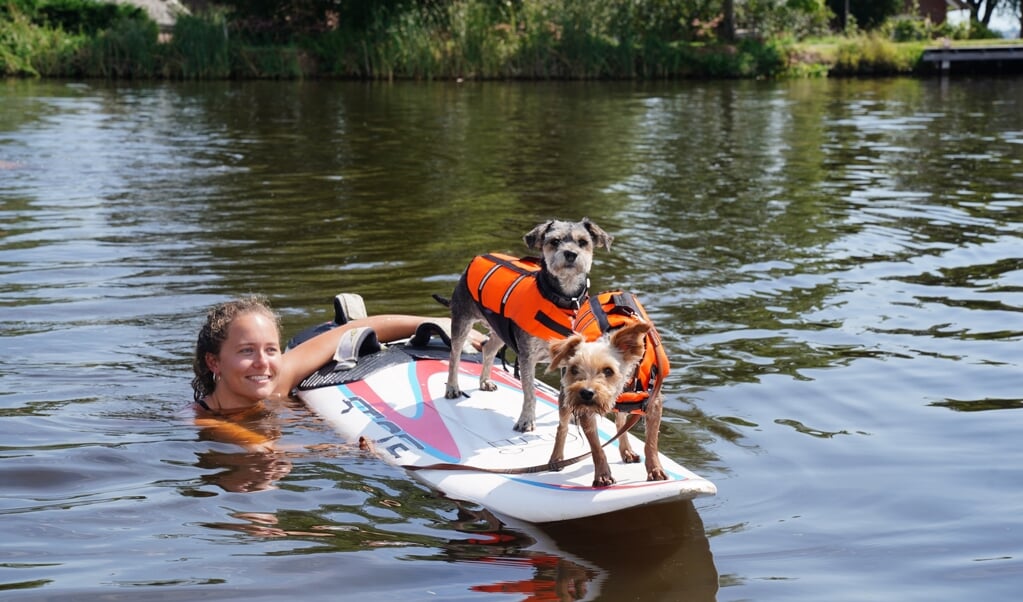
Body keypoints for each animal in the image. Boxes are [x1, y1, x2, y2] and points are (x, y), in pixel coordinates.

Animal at [443, 216, 609, 432]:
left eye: (583, 242)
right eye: (554, 241)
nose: (571, 254)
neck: (563, 300)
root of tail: (479, 257)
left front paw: (574, 416)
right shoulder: (527, 356)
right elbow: (530, 392)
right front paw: (526, 420)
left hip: (499, 330)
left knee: (488, 349)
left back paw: (485, 381)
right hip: (462, 319)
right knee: (454, 356)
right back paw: (452, 387)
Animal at [548, 321, 666, 487]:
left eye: (608, 370)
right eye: (574, 369)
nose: (586, 392)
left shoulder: (654, 403)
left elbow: (651, 443)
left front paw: (655, 470)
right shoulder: (586, 411)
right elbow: (597, 448)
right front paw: (603, 475)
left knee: (620, 422)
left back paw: (626, 451)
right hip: (566, 398)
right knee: (562, 427)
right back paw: (556, 458)